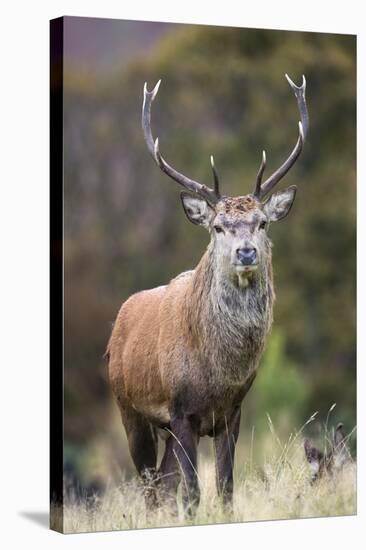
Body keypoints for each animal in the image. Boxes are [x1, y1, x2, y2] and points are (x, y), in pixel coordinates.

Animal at [106, 73, 308, 516]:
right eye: (218, 227)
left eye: (262, 222)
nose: (246, 252)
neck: (217, 376)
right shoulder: (181, 411)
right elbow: (195, 494)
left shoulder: (232, 412)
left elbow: (226, 489)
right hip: (129, 408)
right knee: (150, 489)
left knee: (164, 486)